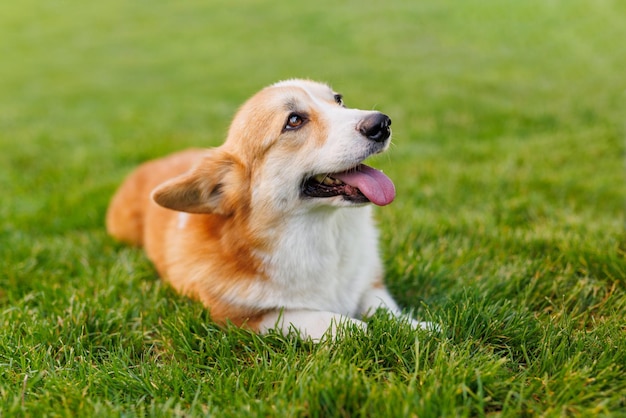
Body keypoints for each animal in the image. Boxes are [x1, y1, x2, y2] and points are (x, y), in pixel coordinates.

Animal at [107, 78, 428, 340]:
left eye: (338, 100)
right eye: (294, 120)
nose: (382, 123)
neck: (320, 234)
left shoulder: (370, 283)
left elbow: (386, 309)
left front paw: (419, 327)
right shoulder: (241, 318)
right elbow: (319, 319)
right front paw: (358, 328)